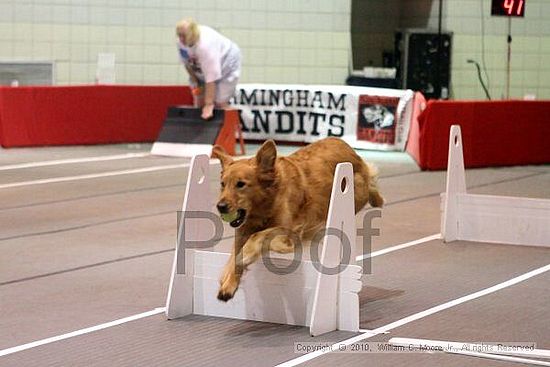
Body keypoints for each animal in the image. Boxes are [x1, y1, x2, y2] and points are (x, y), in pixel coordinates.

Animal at [211, 138, 384, 302]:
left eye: (241, 184)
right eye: (222, 184)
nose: (221, 206)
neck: (266, 205)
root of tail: (344, 144)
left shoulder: (289, 232)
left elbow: (260, 235)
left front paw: (247, 253)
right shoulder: (242, 232)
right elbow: (234, 257)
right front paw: (227, 282)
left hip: (356, 194)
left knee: (370, 180)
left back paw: (378, 199)